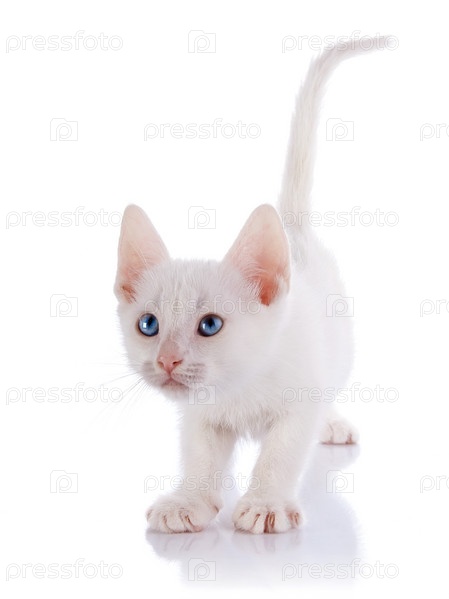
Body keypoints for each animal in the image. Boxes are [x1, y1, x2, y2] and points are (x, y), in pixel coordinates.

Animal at [114, 37, 387, 534]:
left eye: (210, 325)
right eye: (148, 325)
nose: (166, 361)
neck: (240, 385)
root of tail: (292, 229)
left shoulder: (299, 401)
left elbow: (281, 453)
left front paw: (265, 503)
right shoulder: (199, 416)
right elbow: (199, 457)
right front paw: (189, 500)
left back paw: (332, 423)